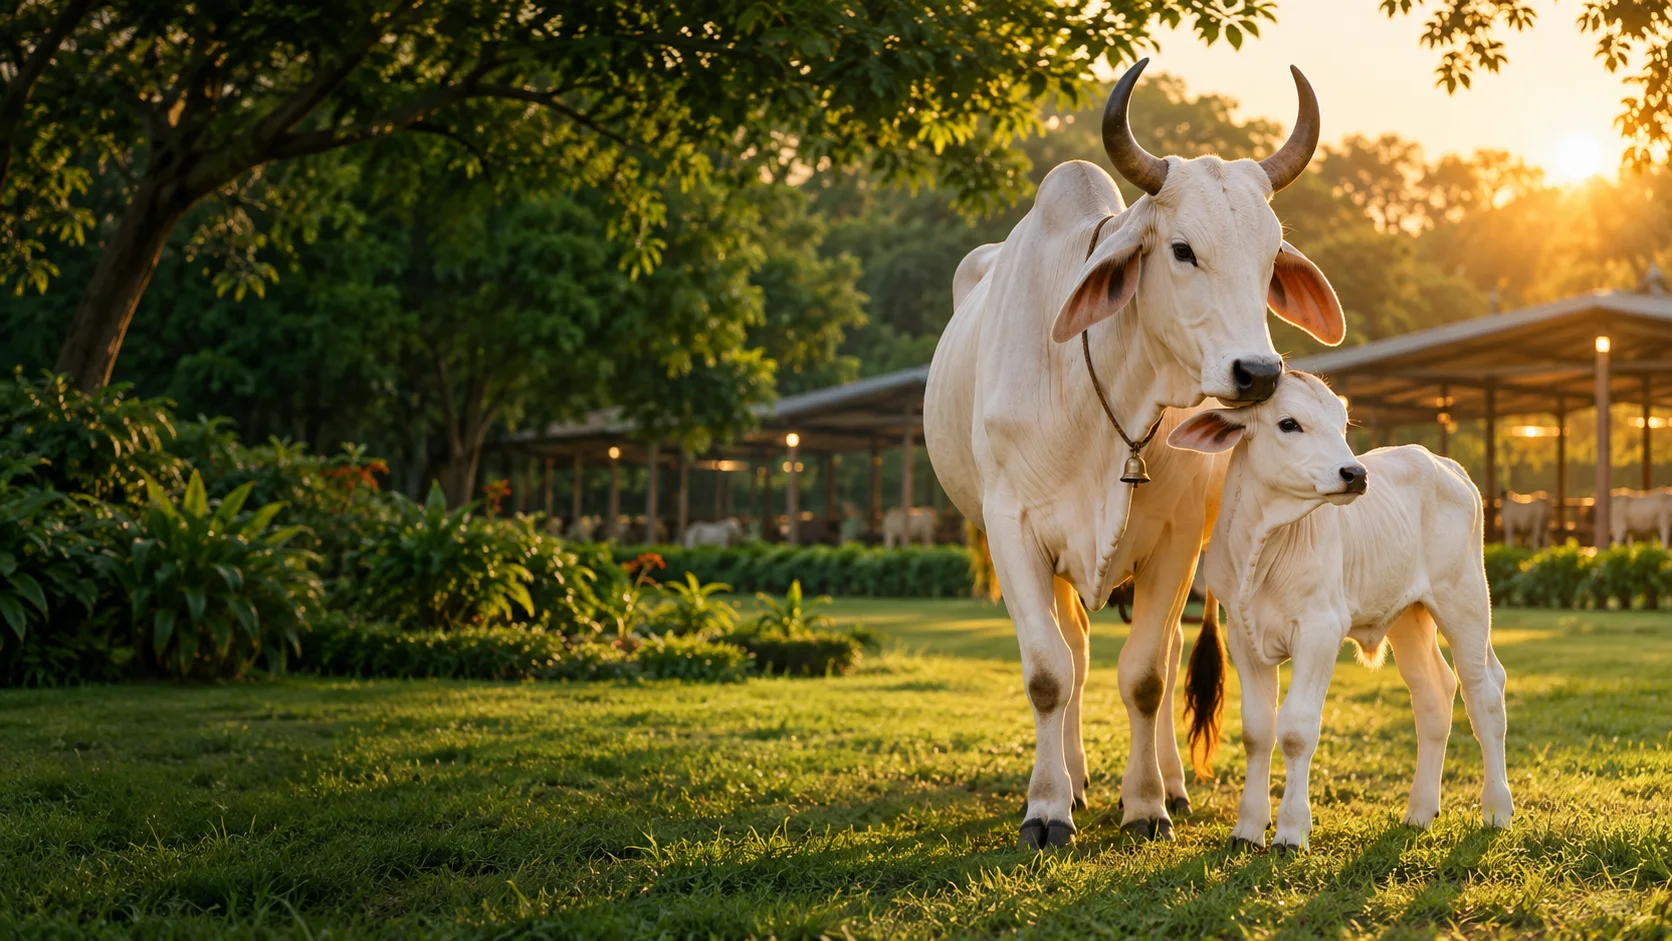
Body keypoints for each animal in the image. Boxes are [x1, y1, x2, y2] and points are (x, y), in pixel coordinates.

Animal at [923, 58, 1345, 849]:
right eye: (1181, 250)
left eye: (1270, 256)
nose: (1258, 372)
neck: (1100, 397)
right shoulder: (1013, 528)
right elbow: (1049, 673)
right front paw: (1047, 808)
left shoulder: (1176, 541)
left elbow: (1147, 674)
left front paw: (1147, 804)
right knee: (1076, 652)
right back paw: (1074, 777)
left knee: (1157, 657)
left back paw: (1169, 783)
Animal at [1171, 372, 1512, 853]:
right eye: (1289, 423)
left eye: (1342, 424)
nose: (1354, 473)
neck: (1263, 549)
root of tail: (1446, 465)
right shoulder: (1242, 634)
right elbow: (1257, 732)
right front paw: (1248, 828)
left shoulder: (1320, 631)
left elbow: (1296, 730)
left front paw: (1291, 831)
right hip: (1410, 616)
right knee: (1434, 694)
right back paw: (1420, 811)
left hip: (1465, 600)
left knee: (1484, 693)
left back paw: (1497, 810)